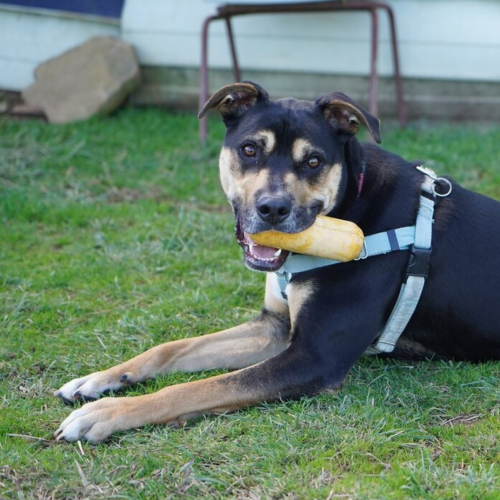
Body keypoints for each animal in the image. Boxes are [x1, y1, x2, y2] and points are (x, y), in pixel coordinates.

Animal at [54, 83, 500, 446]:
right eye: (250, 150)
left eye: (314, 161)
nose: (272, 209)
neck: (352, 207)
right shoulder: (275, 327)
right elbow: (171, 348)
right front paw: (100, 380)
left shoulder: (312, 358)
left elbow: (198, 388)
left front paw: (108, 413)